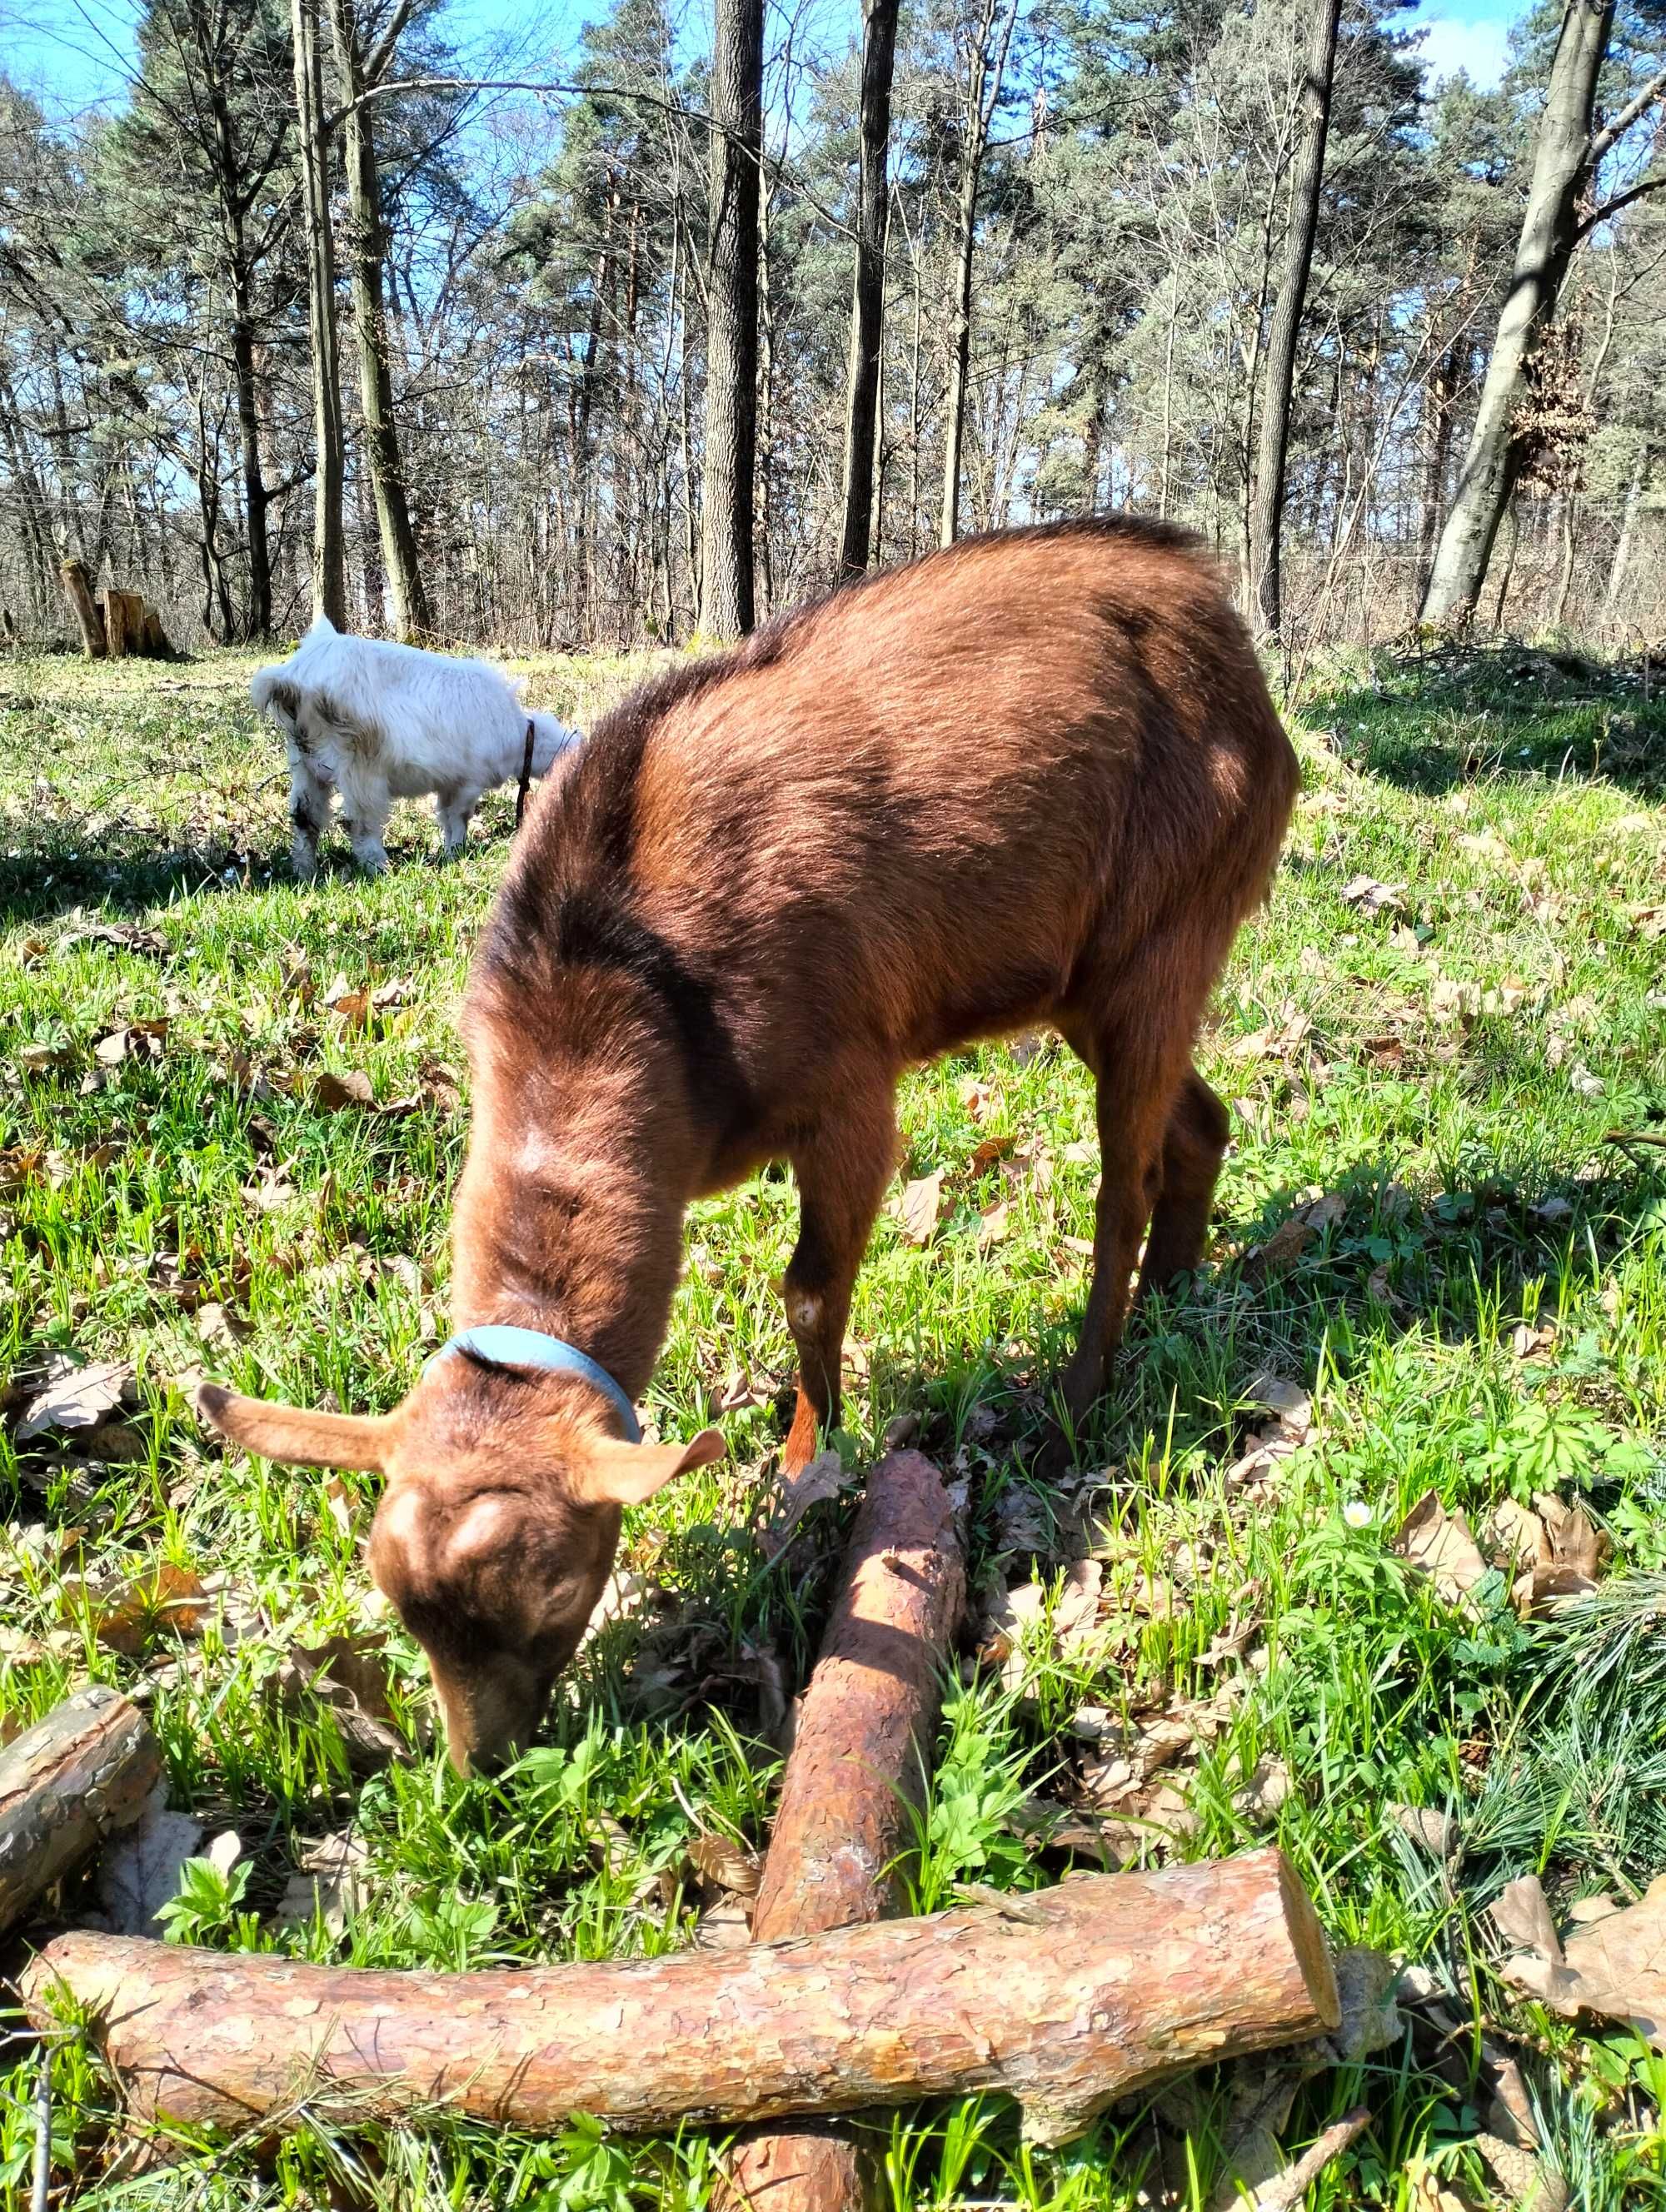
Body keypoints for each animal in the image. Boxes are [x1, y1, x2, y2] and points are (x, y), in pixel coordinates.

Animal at [250, 619, 579, 875]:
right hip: (360, 765)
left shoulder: (449, 783)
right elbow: (458, 816)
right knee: (360, 823)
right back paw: (380, 867)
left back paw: (306, 871)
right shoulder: (468, 781)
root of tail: (297, 675)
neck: (518, 734)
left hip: (305, 764)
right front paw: (457, 850)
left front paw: (452, 850)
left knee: (305, 817)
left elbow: (446, 815)